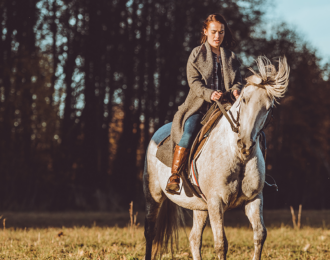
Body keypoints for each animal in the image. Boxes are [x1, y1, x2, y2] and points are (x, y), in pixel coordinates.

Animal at [142, 57, 288, 260]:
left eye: (269, 107)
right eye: (244, 99)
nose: (245, 143)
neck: (236, 155)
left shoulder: (254, 199)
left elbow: (260, 235)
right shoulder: (216, 202)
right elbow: (221, 243)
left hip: (199, 207)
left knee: (194, 238)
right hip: (153, 195)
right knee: (150, 232)